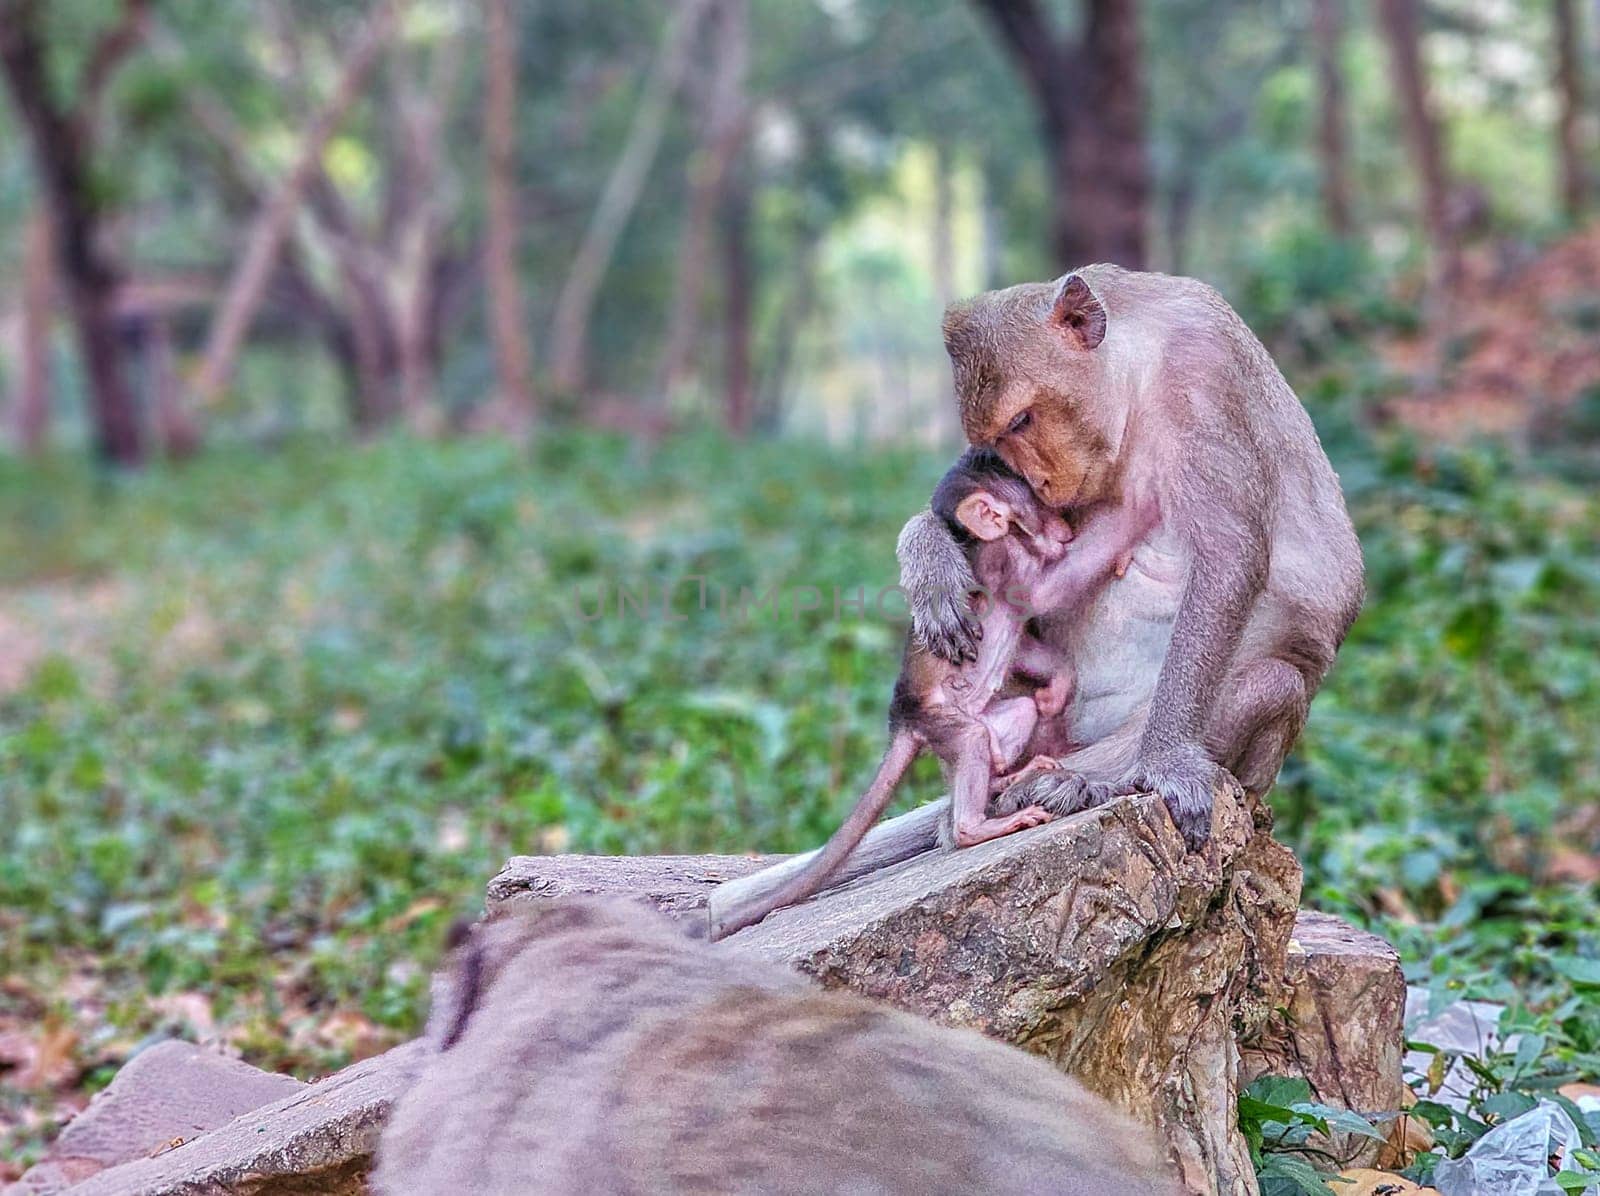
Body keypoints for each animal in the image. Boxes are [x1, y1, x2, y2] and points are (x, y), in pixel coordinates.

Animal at [713, 444, 1152, 940]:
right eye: (1040, 506)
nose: (1066, 527)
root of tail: (901, 716)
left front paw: (1056, 687)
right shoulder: (1009, 562)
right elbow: (1045, 590)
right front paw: (1136, 513)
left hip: (980, 721)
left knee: (1015, 713)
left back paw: (1007, 778)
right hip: (941, 720)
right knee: (972, 743)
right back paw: (974, 828)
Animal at [902, 268, 1363, 850]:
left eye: (1023, 420)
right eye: (998, 437)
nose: (1038, 483)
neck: (1139, 367)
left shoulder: (1200, 372)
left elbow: (1229, 553)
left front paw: (1165, 762)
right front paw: (931, 560)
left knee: (1270, 682)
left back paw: (1087, 783)